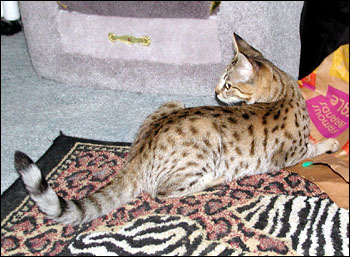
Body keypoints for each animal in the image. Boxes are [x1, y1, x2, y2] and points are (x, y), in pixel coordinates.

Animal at [14, 32, 340, 224]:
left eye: (228, 84)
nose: (215, 91)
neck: (284, 91)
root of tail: (137, 158)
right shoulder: (290, 155)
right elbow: (314, 146)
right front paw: (333, 143)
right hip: (205, 140)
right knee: (162, 192)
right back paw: (213, 182)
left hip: (173, 103)